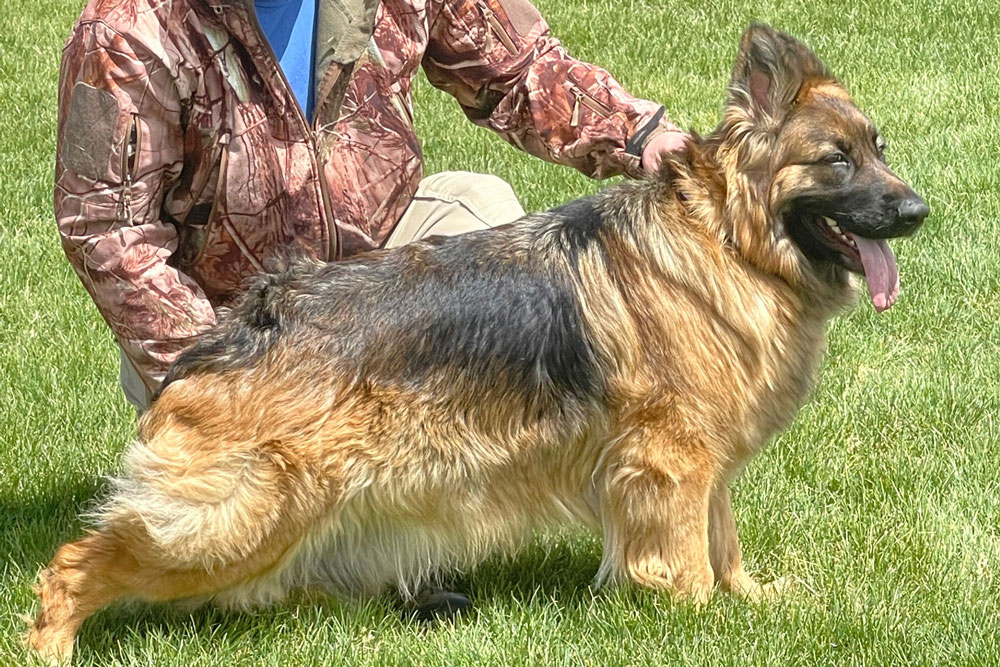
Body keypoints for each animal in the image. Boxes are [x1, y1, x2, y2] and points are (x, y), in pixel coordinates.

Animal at [29, 23, 927, 663]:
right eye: (836, 160)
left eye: (879, 148)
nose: (919, 211)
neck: (728, 241)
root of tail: (246, 324)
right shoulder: (670, 460)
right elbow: (689, 559)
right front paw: (699, 618)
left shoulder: (702, 460)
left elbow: (724, 538)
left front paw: (752, 598)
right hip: (233, 519)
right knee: (71, 563)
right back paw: (51, 641)